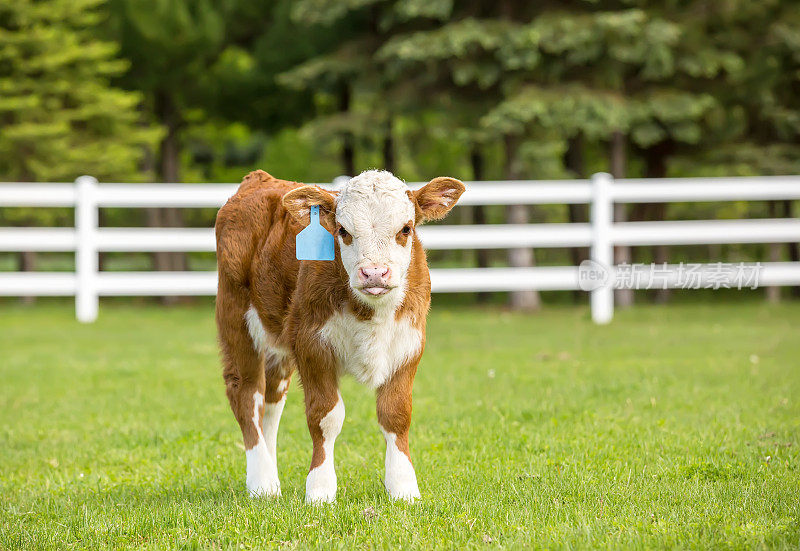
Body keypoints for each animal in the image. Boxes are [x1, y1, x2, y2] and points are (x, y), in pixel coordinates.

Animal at [216, 170, 466, 502]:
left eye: (406, 228)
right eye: (343, 230)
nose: (374, 273)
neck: (371, 314)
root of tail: (259, 179)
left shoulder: (409, 344)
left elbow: (396, 413)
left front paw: (403, 487)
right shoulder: (312, 345)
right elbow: (325, 416)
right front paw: (320, 489)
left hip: (277, 343)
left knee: (271, 401)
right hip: (236, 319)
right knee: (246, 395)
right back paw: (262, 482)